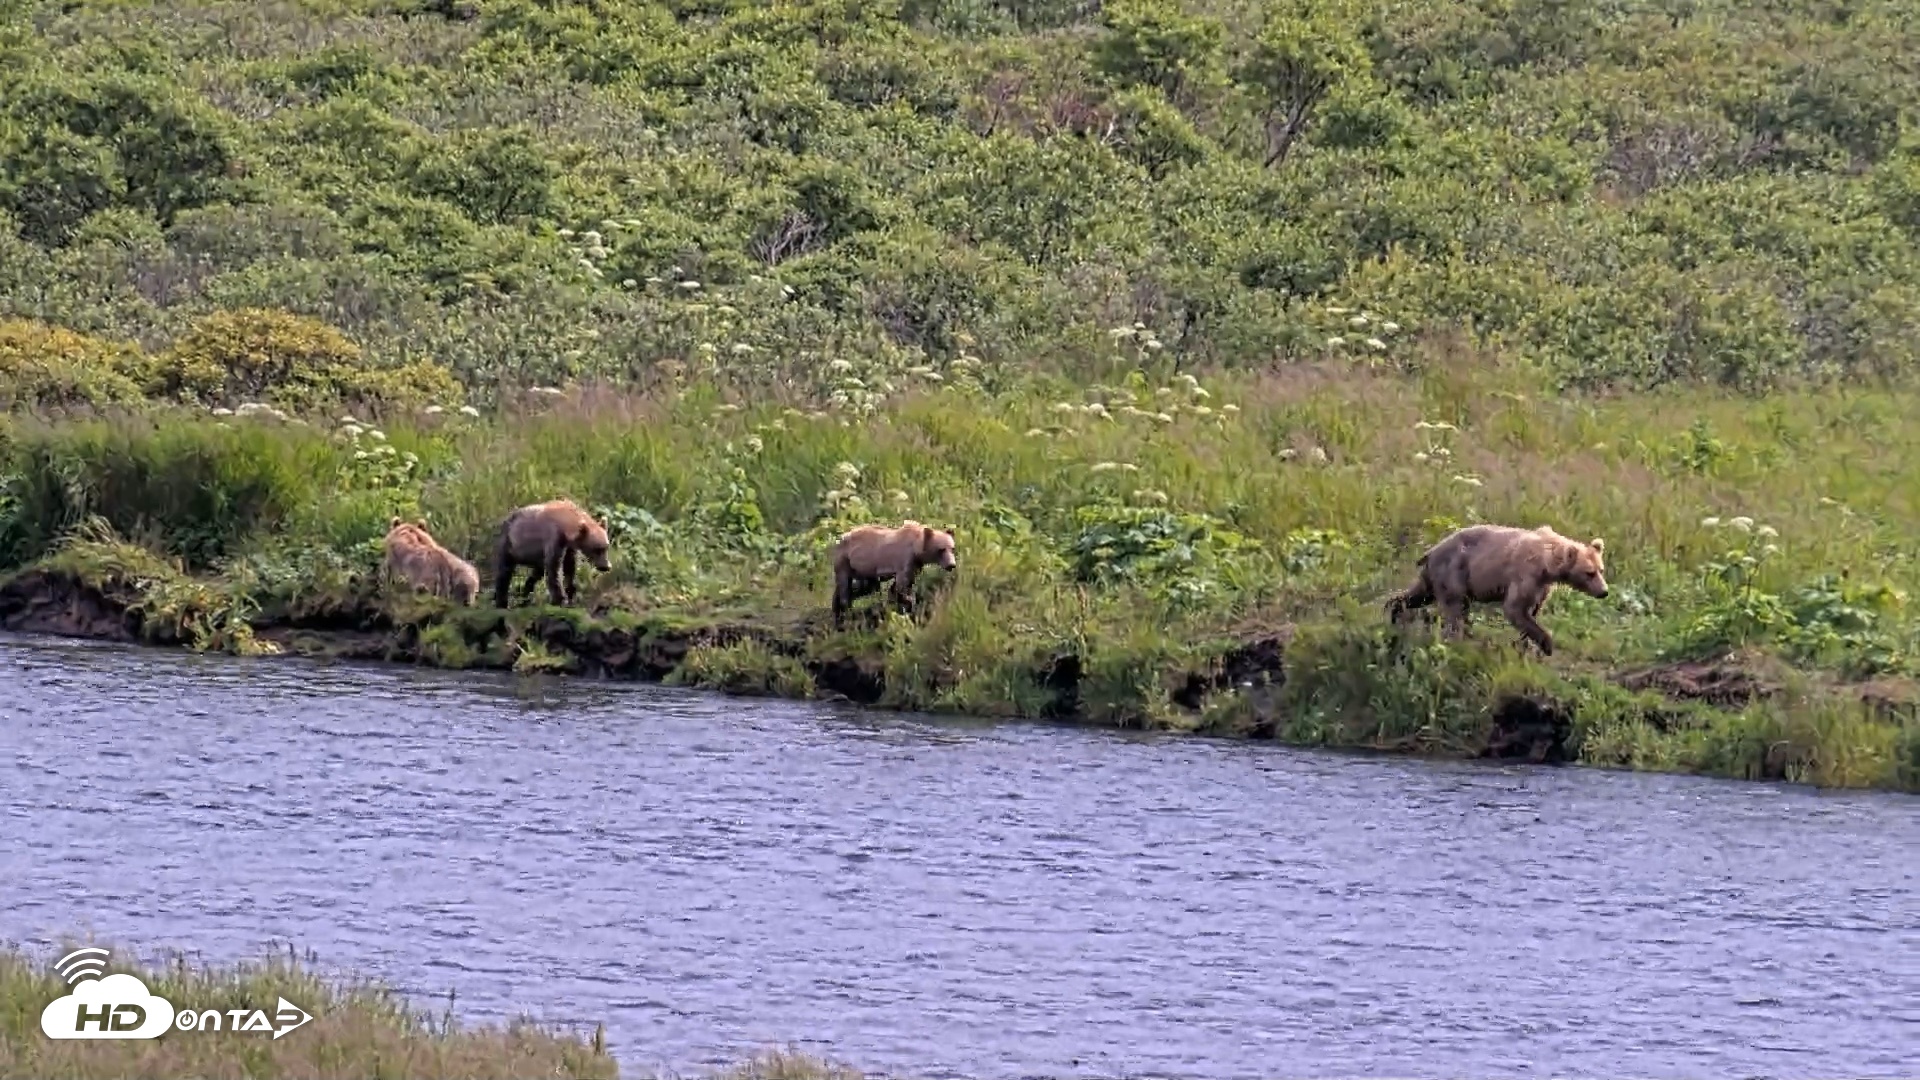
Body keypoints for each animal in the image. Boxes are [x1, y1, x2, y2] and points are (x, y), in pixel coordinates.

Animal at [1384, 523, 1608, 656]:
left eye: (1601, 569)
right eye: (1589, 573)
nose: (1604, 592)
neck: (1548, 563)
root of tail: (1430, 551)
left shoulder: (1541, 585)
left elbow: (1532, 610)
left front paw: (1525, 644)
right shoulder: (1525, 575)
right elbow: (1515, 608)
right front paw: (1547, 644)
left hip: (1434, 575)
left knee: (1419, 595)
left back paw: (1392, 609)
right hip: (1454, 570)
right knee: (1455, 606)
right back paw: (1457, 638)